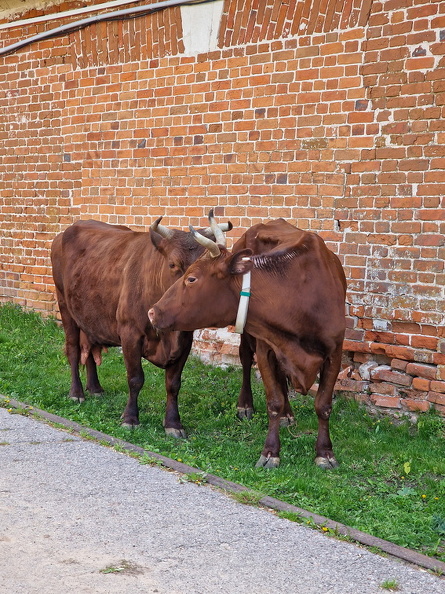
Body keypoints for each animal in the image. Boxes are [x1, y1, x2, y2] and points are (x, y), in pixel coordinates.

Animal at [51, 215, 232, 432]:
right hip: (65, 306)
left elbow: (174, 383)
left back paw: (95, 388)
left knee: (89, 349)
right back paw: (76, 393)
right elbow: (135, 378)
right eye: (173, 264)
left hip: (88, 314)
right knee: (73, 349)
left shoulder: (185, 339)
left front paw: (173, 423)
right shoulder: (130, 333)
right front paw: (130, 418)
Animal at [149, 217, 346, 468]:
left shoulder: (335, 353)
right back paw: (247, 406)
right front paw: (271, 452)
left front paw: (325, 453)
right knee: (245, 361)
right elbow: (274, 401)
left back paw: (288, 415)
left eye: (191, 278)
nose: (152, 312)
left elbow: (323, 405)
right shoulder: (266, 347)